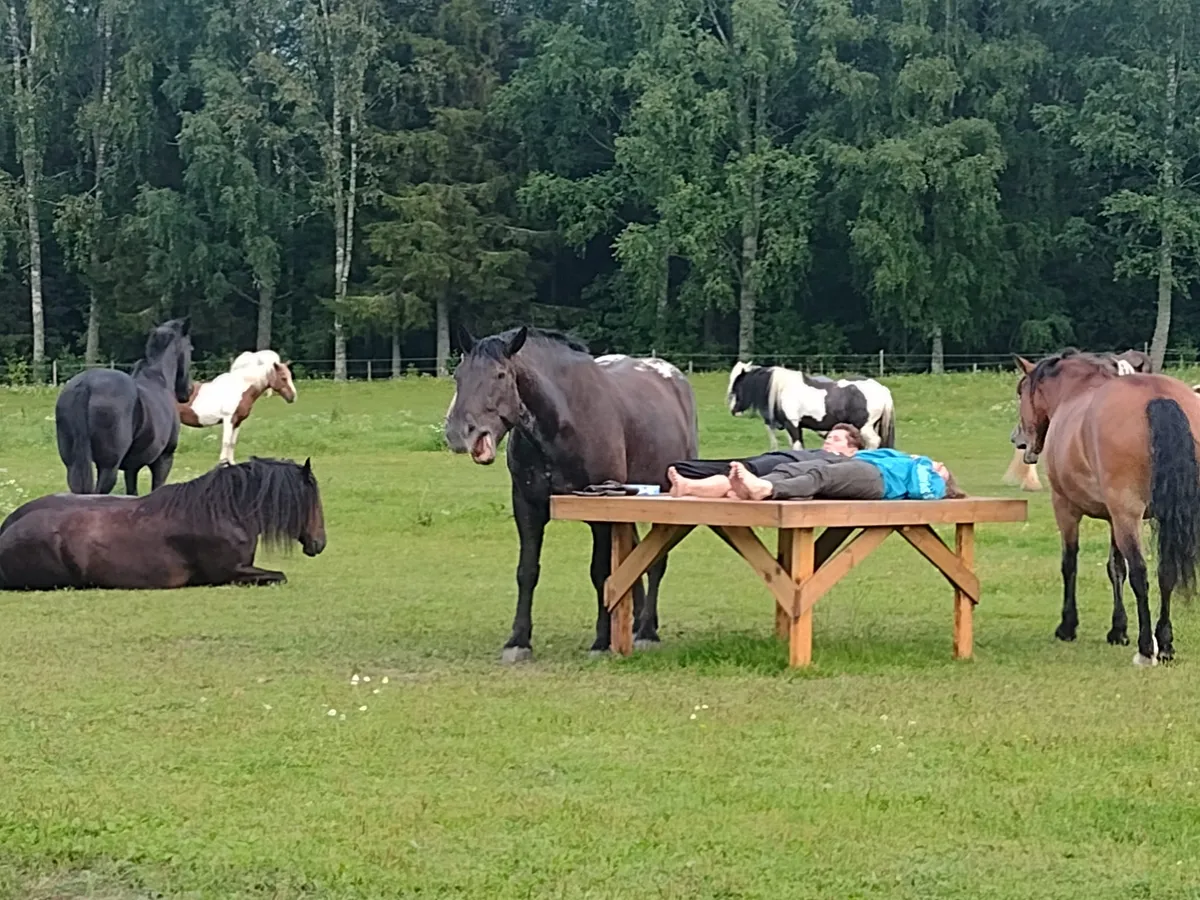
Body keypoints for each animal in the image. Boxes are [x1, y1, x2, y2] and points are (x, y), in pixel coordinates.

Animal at [54, 317, 193, 495]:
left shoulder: (131, 467)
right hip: (108, 467)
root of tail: (86, 384)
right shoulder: (163, 460)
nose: (188, 391)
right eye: (190, 348)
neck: (159, 379)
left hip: (73, 464)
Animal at [443, 326, 698, 661]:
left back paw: (646, 632)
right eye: (458, 375)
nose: (459, 433)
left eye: (500, 375)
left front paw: (601, 642)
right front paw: (518, 641)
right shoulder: (528, 507)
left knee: (656, 562)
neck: (562, 421)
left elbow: (601, 573)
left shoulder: (602, 512)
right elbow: (527, 571)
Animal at [726, 361, 895, 450]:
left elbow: (797, 446)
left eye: (737, 385)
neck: (783, 389)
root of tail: (882, 389)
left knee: (873, 442)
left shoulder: (793, 425)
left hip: (864, 427)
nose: (733, 410)